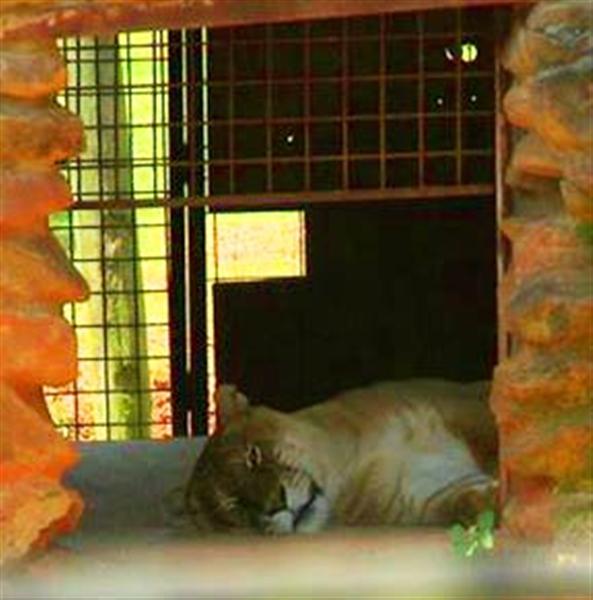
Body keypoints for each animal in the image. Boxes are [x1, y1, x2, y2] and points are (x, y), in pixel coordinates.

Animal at [184, 382, 494, 532]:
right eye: (236, 506)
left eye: (253, 455)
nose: (276, 506)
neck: (347, 468)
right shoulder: (420, 496)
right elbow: (466, 502)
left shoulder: (463, 410)